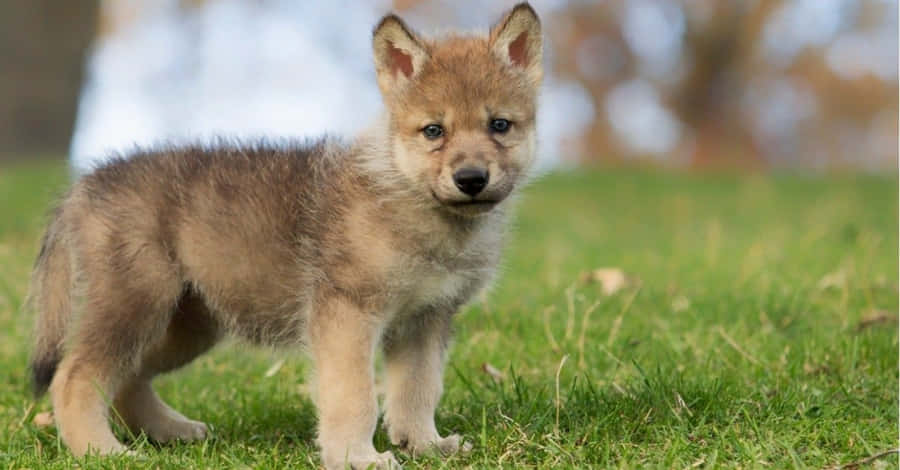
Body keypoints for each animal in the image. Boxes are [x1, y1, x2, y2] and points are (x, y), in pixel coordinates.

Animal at [27, 3, 542, 468]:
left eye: (499, 125)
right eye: (434, 130)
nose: (471, 179)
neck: (410, 200)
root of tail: (86, 185)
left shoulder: (426, 319)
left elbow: (418, 390)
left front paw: (425, 445)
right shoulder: (348, 314)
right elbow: (355, 395)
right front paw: (356, 457)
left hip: (187, 323)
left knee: (126, 380)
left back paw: (169, 432)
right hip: (137, 303)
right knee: (74, 376)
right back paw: (102, 451)